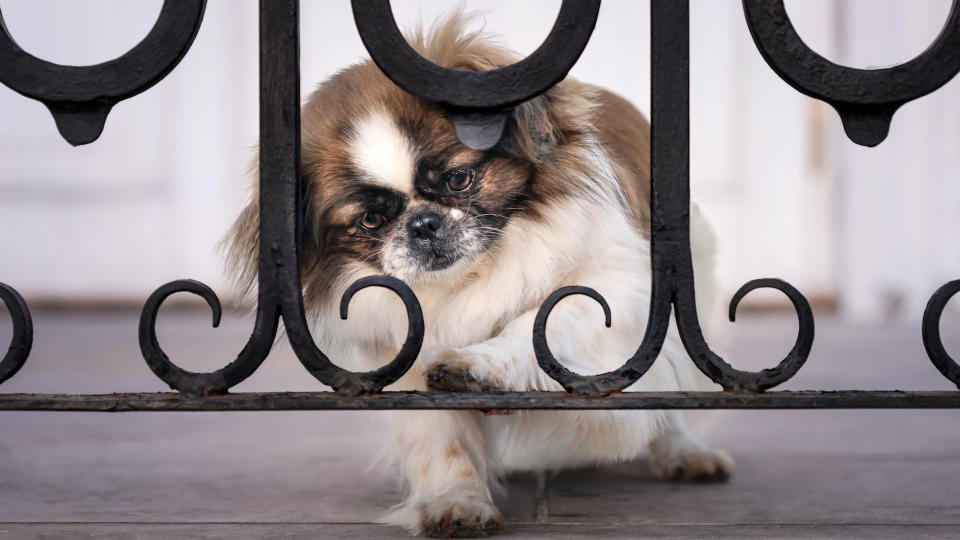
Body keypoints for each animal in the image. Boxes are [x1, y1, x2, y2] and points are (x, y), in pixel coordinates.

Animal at [227, 10, 736, 536]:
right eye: (370, 220)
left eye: (459, 179)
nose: (423, 224)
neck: (472, 277)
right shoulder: (402, 362)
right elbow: (439, 439)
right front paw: (456, 502)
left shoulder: (615, 286)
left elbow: (542, 325)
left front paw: (479, 365)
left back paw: (682, 452)